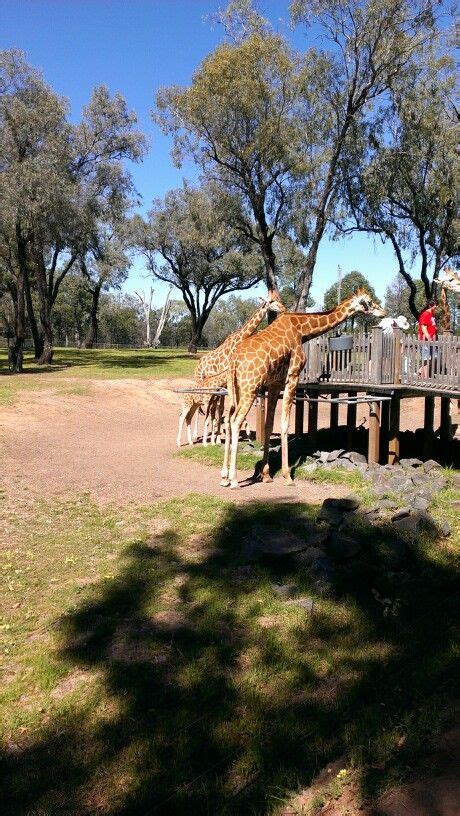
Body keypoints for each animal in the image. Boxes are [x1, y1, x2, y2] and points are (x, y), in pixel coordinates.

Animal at [175, 294, 286, 446]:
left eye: (278, 298)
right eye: (272, 301)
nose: (283, 308)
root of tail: (198, 365)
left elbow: (225, 408)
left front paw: (243, 436)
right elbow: (225, 408)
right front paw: (219, 439)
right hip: (200, 381)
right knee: (196, 408)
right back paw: (195, 436)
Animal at [221, 290, 386, 488]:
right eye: (369, 301)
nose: (383, 312)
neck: (302, 330)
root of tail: (233, 360)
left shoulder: (275, 384)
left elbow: (269, 425)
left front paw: (267, 474)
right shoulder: (293, 377)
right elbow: (285, 424)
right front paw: (287, 476)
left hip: (235, 389)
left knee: (228, 418)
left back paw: (224, 477)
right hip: (250, 388)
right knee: (236, 420)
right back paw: (234, 479)